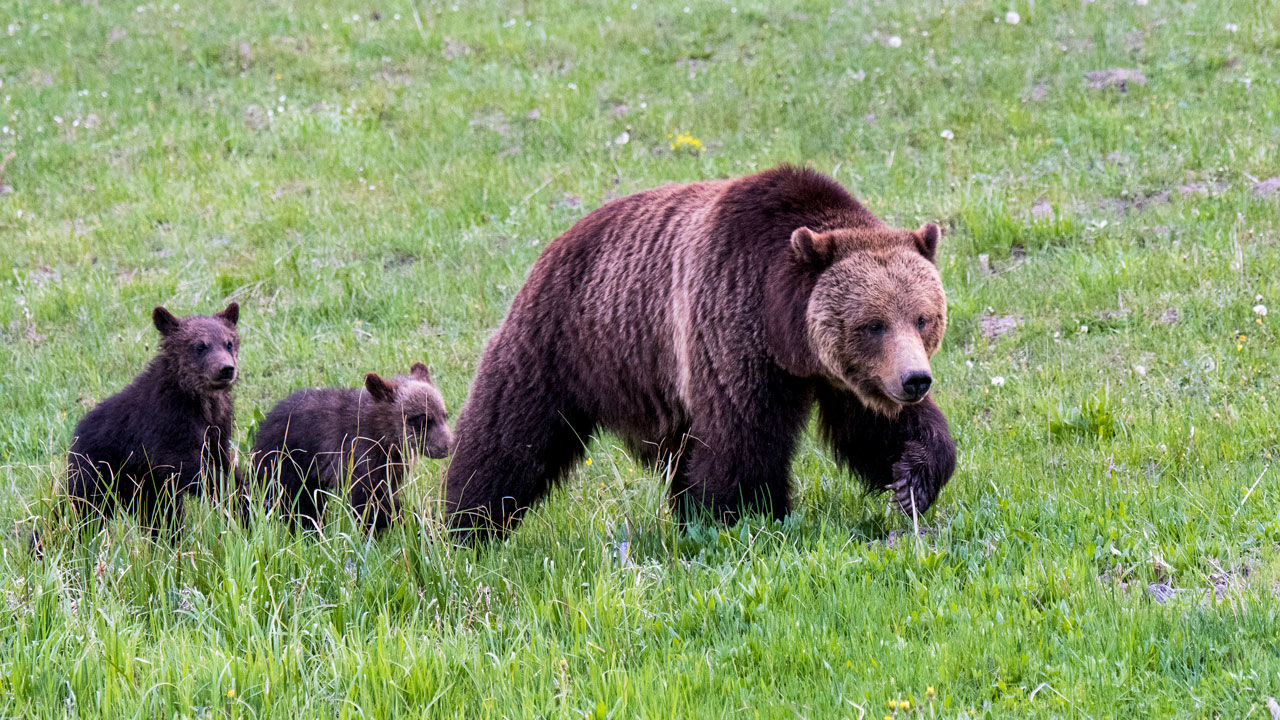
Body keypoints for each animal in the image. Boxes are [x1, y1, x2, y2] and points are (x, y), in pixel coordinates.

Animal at [247, 361, 453, 530]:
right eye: (422, 420)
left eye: (444, 415)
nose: (448, 445)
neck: (384, 436)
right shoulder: (359, 455)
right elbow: (369, 501)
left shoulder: (392, 465)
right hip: (286, 464)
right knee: (297, 504)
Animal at [445, 165, 957, 535]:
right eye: (873, 324)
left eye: (922, 318)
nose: (915, 380)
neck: (785, 331)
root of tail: (558, 239)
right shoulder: (730, 326)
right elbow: (742, 439)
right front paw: (749, 517)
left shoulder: (844, 375)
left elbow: (872, 428)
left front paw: (912, 479)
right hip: (567, 341)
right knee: (509, 436)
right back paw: (468, 524)